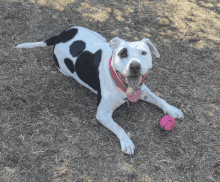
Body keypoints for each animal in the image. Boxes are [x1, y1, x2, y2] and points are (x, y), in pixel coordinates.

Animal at [16, 26, 183, 155]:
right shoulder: (102, 114)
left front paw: (172, 109)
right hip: (63, 69)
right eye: (122, 53)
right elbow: (118, 127)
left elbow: (159, 99)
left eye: (144, 53)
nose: (135, 66)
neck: (119, 84)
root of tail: (61, 36)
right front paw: (126, 141)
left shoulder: (143, 90)